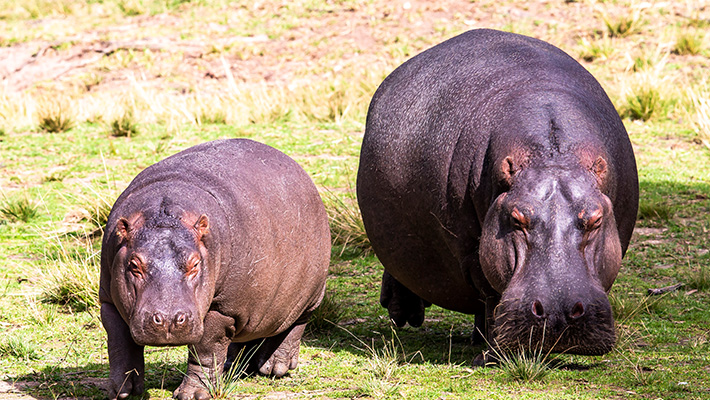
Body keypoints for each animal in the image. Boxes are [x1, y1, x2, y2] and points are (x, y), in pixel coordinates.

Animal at [99, 139, 330, 399]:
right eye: (134, 265)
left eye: (195, 264)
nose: (168, 319)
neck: (164, 212)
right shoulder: (109, 301)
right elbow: (120, 345)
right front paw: (122, 391)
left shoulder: (222, 309)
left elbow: (205, 351)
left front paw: (193, 394)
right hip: (252, 300)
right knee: (246, 333)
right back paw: (233, 366)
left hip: (308, 295)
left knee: (293, 327)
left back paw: (275, 367)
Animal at [356, 29, 638, 356]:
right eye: (516, 219)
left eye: (595, 219)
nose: (558, 312)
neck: (552, 156)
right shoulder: (470, 251)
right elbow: (489, 292)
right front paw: (494, 355)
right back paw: (407, 315)